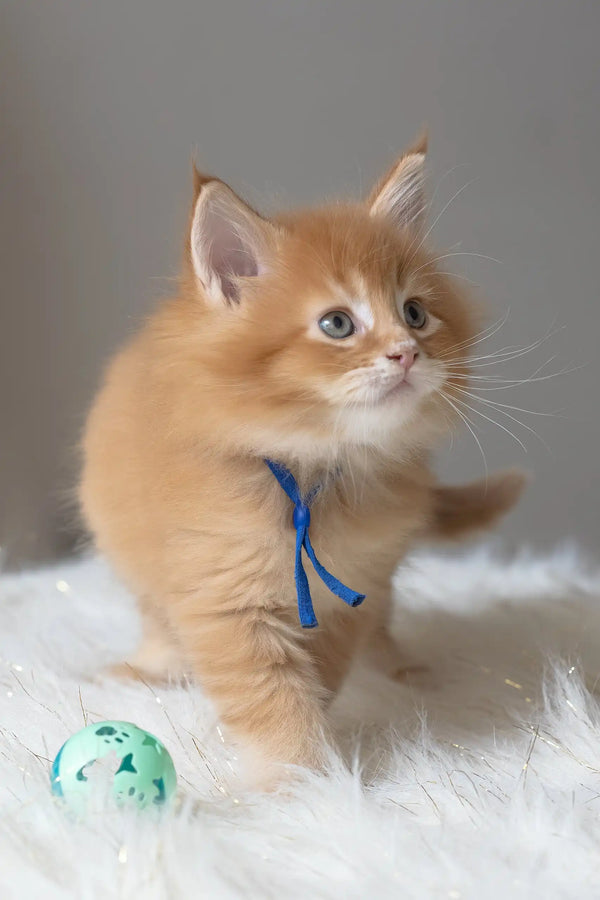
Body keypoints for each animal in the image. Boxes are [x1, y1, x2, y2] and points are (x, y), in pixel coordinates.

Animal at [79, 137, 524, 784]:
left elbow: (319, 676)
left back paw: (401, 669)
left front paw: (315, 771)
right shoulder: (225, 596)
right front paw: (296, 780)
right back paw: (149, 669)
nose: (407, 353)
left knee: (383, 621)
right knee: (158, 620)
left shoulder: (348, 593)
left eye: (415, 314)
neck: (312, 473)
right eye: (337, 324)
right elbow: (271, 696)